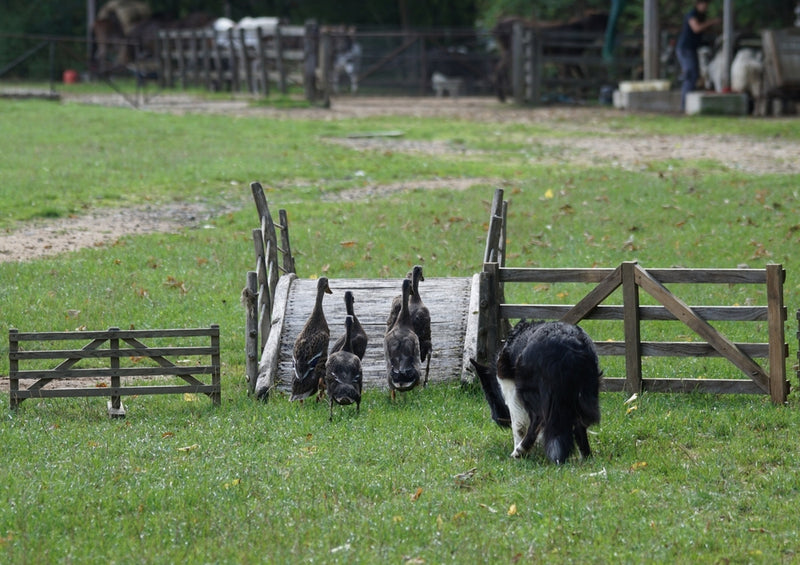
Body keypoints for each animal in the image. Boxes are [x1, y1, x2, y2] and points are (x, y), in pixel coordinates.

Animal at [468, 320, 600, 464]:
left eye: (488, 397)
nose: (495, 419)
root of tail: (568, 345)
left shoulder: (511, 390)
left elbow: (518, 425)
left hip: (532, 391)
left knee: (538, 420)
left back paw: (519, 451)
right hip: (584, 393)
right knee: (579, 423)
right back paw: (585, 456)